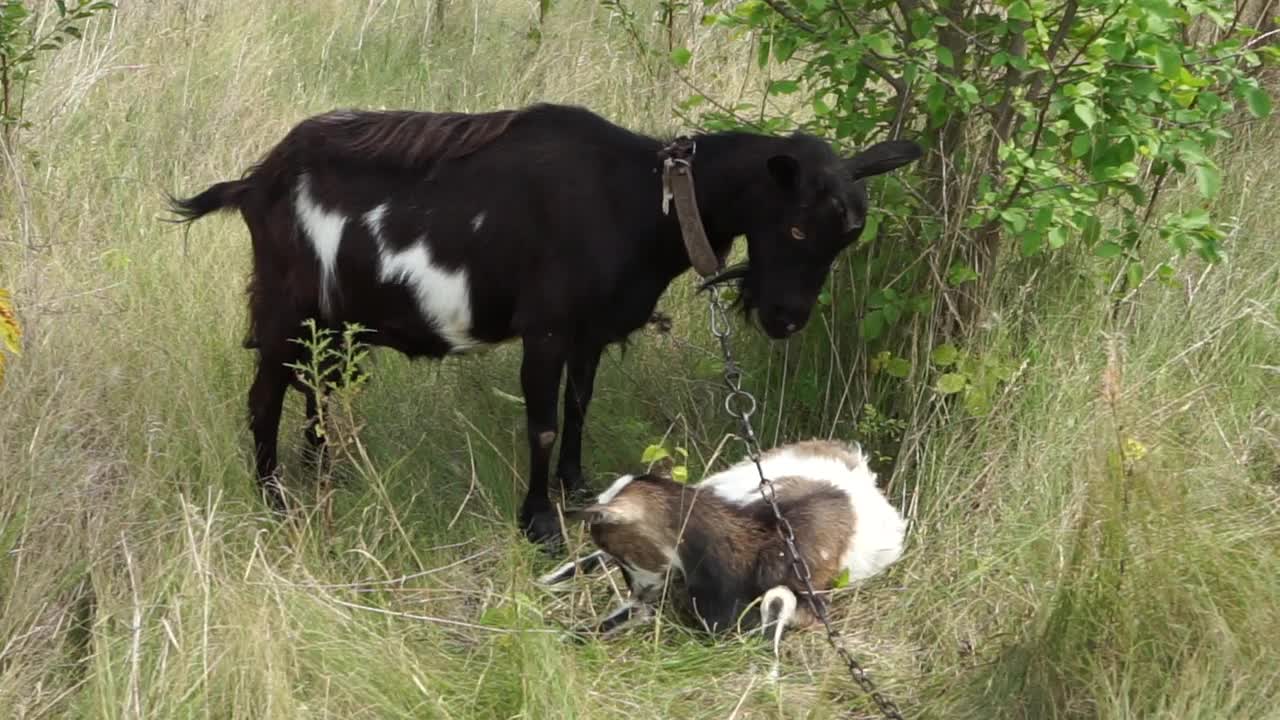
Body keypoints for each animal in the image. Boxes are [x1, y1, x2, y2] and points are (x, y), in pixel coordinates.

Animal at [165, 101, 921, 540]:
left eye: (846, 239)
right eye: (794, 229)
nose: (786, 319)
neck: (641, 196)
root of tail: (255, 181)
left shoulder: (591, 330)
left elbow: (581, 405)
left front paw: (575, 488)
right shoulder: (549, 326)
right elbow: (545, 420)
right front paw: (538, 522)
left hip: (333, 320)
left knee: (317, 385)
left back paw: (326, 472)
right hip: (286, 304)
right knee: (265, 394)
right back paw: (275, 500)